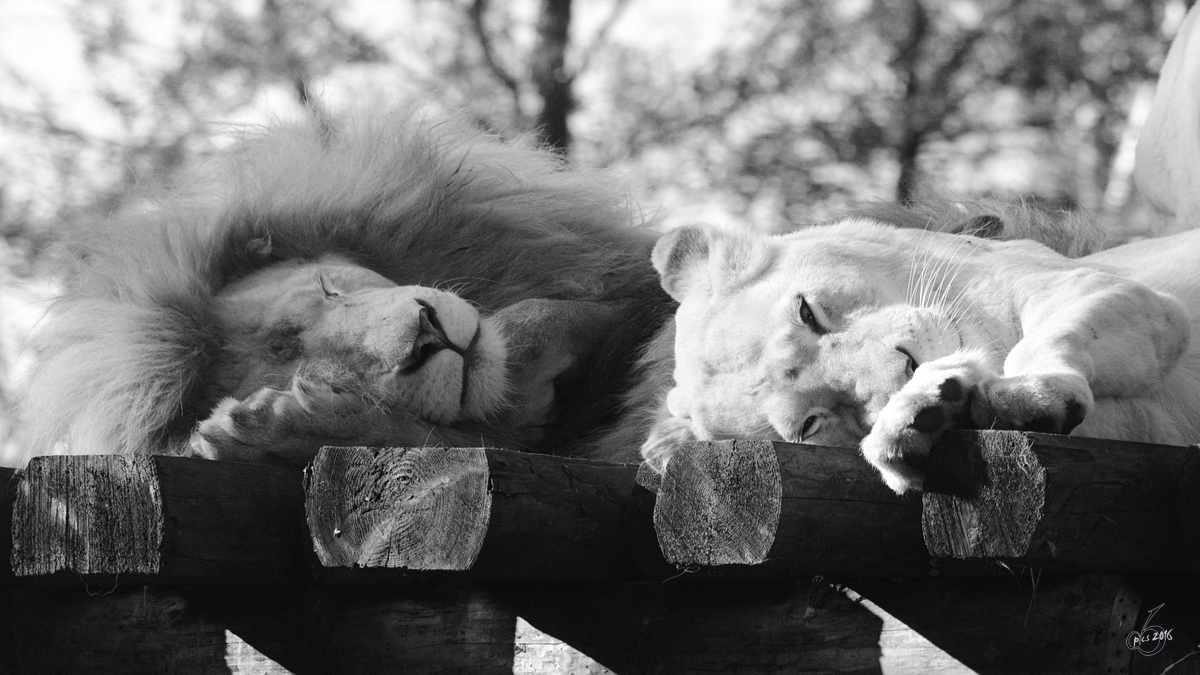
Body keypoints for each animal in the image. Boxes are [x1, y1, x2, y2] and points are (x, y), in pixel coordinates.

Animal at [648, 218, 1200, 492]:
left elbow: (1045, 340)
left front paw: (1023, 394)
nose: (908, 367)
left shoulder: (1124, 294)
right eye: (811, 423)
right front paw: (923, 418)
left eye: (807, 312)